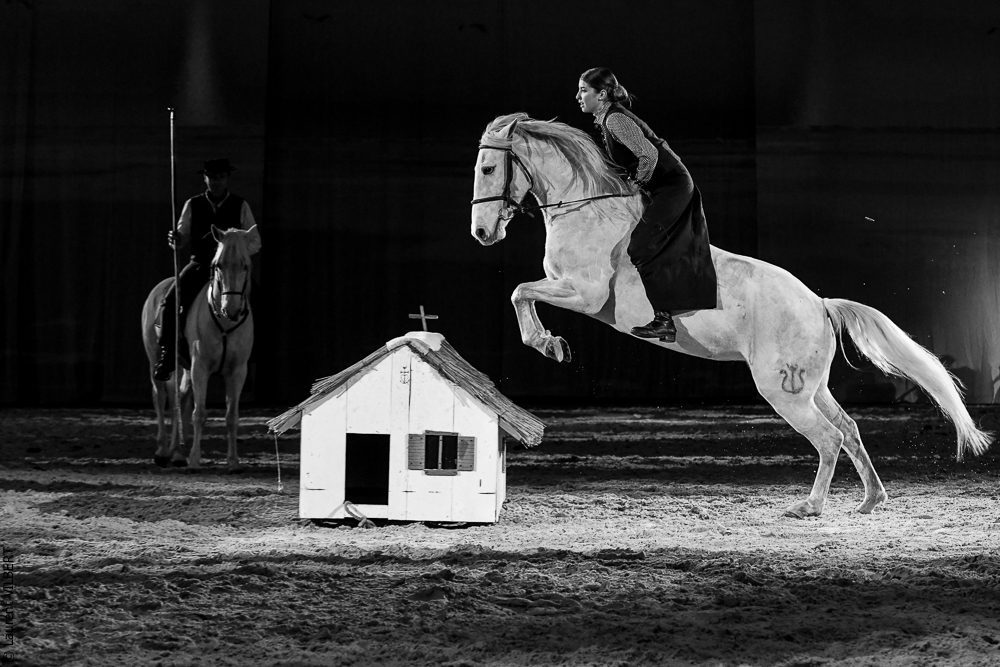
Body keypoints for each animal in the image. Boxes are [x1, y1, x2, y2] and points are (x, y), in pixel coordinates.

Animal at [141, 224, 260, 470]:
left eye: (244, 265)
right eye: (218, 265)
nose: (231, 309)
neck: (225, 323)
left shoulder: (237, 371)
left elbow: (231, 416)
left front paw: (233, 461)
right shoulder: (201, 367)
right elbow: (200, 413)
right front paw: (195, 459)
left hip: (185, 366)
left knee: (180, 399)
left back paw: (177, 452)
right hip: (157, 359)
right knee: (161, 397)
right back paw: (163, 451)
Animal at [469, 113, 991, 518]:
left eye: (489, 167)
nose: (481, 233)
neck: (584, 212)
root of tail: (819, 304)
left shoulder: (585, 293)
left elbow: (519, 291)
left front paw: (548, 344)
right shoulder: (570, 290)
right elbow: (522, 292)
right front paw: (549, 343)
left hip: (784, 391)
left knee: (827, 439)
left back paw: (810, 507)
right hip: (810, 386)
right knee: (849, 430)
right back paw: (869, 501)